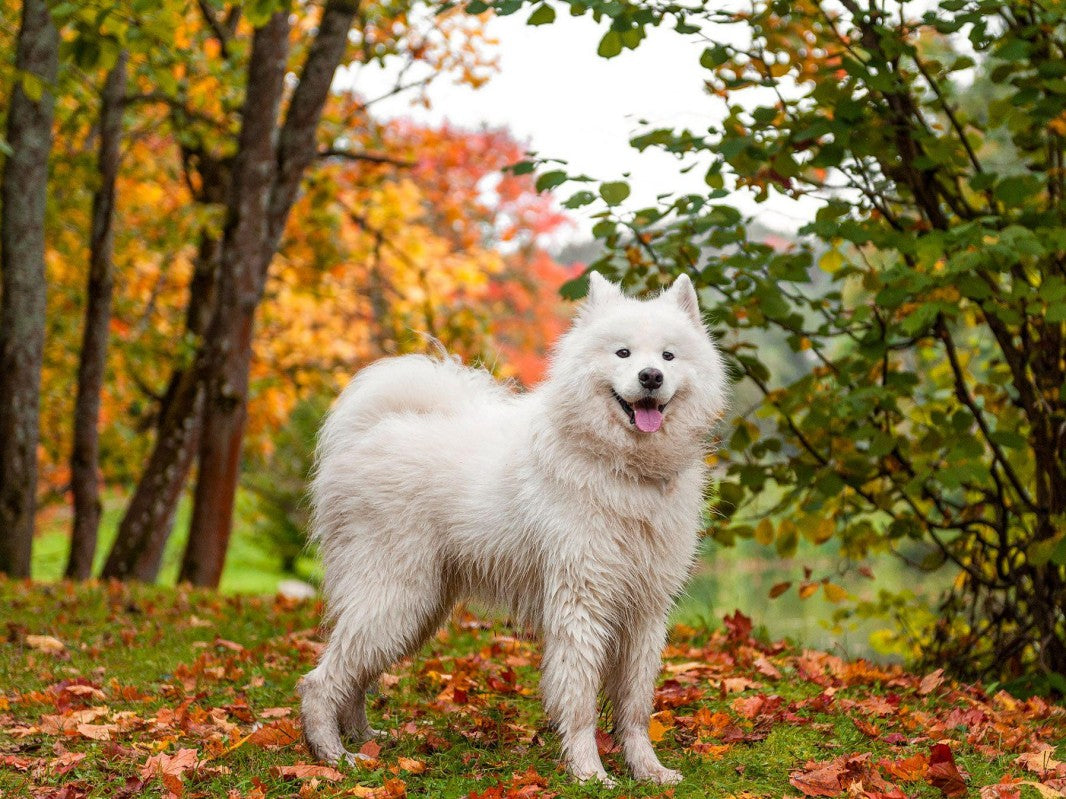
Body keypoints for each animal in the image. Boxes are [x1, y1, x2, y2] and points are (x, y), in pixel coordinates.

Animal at [304, 272, 729, 784]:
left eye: (668, 356)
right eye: (623, 353)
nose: (651, 377)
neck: (625, 472)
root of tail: (369, 433)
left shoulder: (645, 610)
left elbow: (635, 707)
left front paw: (649, 771)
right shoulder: (581, 602)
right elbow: (581, 701)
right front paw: (589, 773)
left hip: (417, 608)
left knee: (353, 678)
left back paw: (363, 740)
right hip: (395, 597)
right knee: (319, 681)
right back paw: (333, 757)